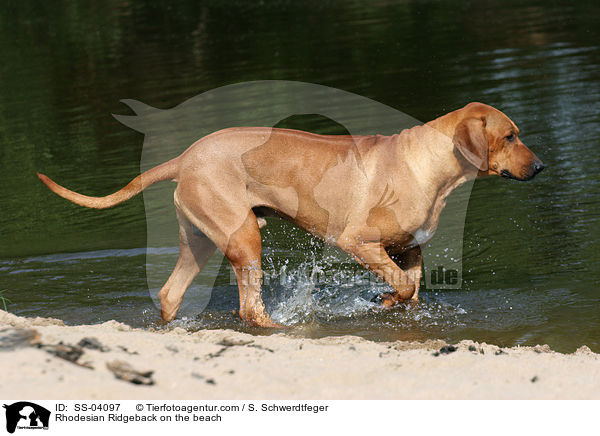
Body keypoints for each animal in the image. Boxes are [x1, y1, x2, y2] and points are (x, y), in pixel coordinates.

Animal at [37, 103, 544, 328]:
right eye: (511, 136)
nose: (540, 166)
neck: (431, 165)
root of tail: (185, 157)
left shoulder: (410, 247)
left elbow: (411, 290)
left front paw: (387, 305)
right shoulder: (356, 242)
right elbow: (401, 285)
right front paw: (379, 301)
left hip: (201, 239)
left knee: (170, 294)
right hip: (244, 236)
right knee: (249, 306)